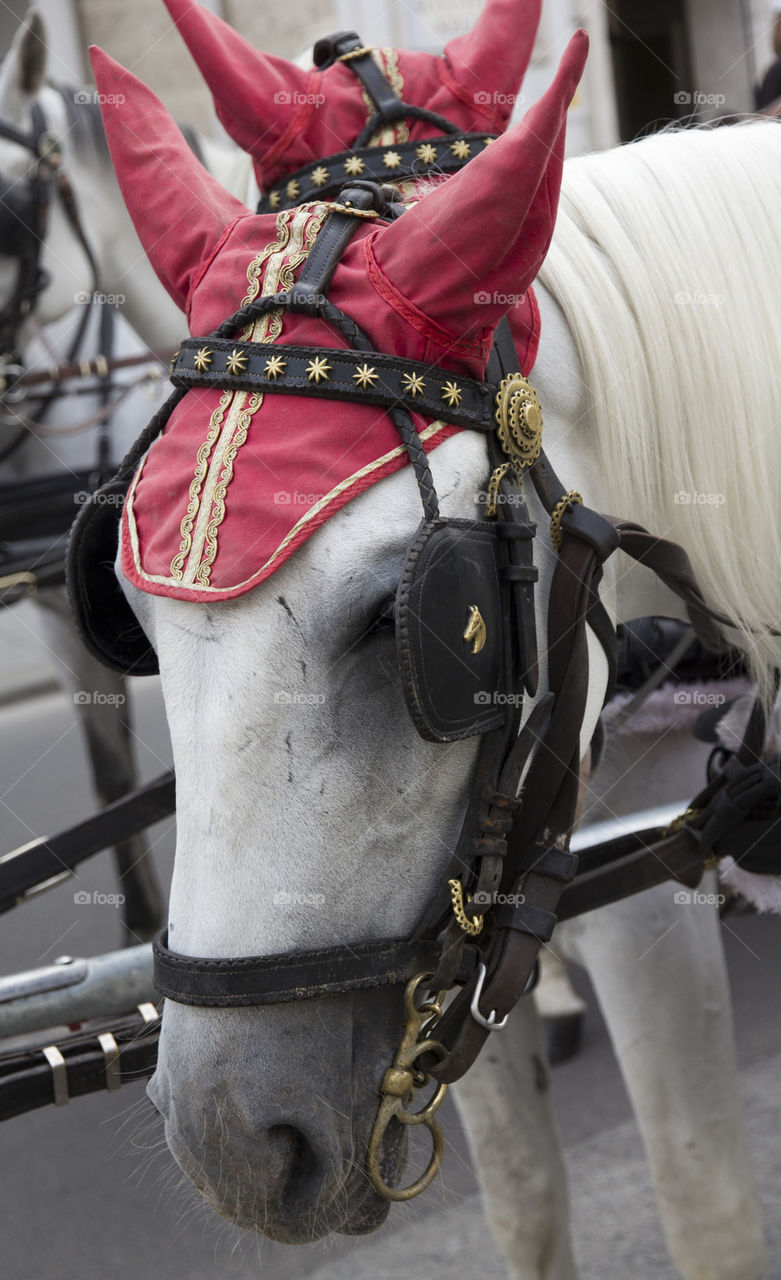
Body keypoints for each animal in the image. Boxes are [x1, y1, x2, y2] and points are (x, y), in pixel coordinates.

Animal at [103, 30, 778, 1269]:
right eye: (129, 601)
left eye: (400, 619)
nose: (233, 1145)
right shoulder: (464, 937)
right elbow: (522, 1195)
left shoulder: (633, 904)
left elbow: (705, 1211)